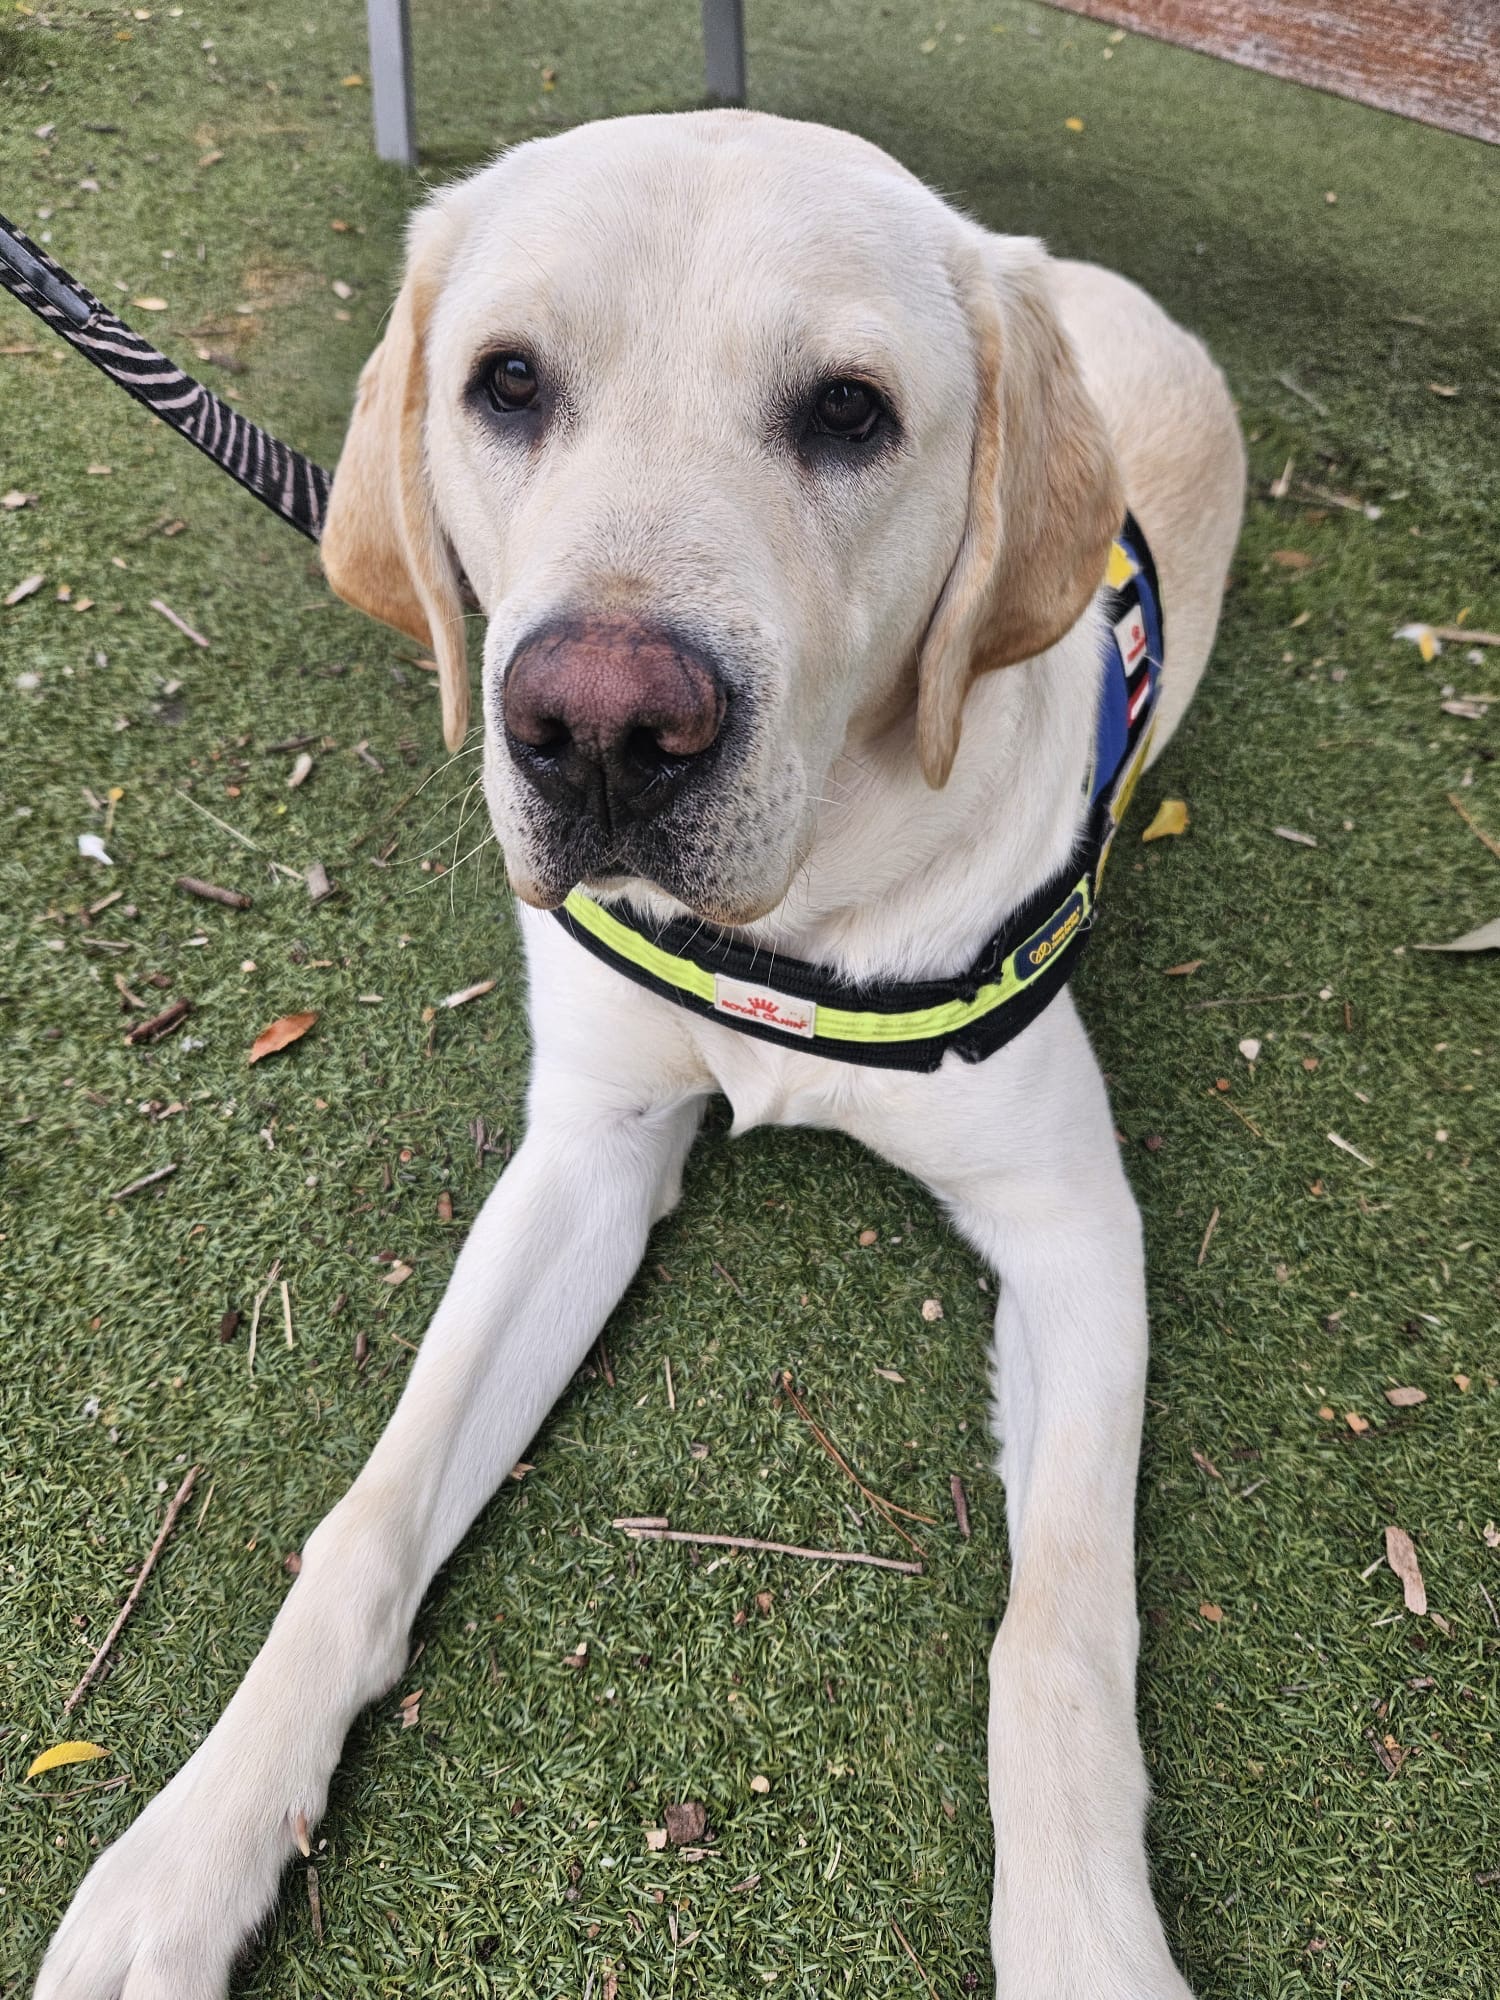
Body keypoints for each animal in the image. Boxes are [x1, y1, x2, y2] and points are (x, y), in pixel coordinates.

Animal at [38, 113, 1248, 2000]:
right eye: (507, 383)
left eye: (850, 412)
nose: (601, 727)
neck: (799, 922)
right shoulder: (585, 1155)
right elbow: (369, 1517)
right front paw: (184, 1858)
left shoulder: (1074, 1230)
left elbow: (1054, 1634)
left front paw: (1088, 1955)